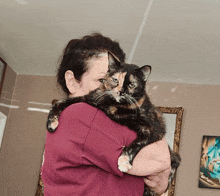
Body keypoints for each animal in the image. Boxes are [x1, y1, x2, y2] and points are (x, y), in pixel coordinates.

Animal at [46, 52, 180, 195]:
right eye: (116, 80)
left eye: (131, 84)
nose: (121, 91)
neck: (114, 106)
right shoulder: (89, 98)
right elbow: (60, 102)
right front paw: (51, 122)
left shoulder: (154, 129)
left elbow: (138, 142)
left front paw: (124, 161)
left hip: (173, 158)